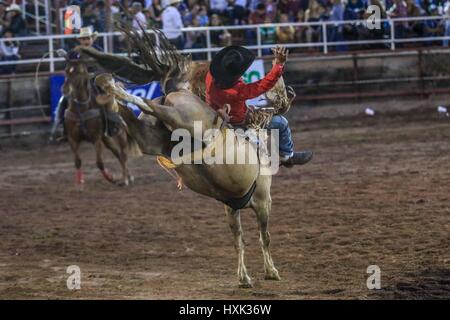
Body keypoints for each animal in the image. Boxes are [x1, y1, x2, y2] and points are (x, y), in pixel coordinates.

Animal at [62, 52, 141, 188]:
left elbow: (99, 163)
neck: (80, 110)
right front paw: (79, 182)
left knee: (123, 154)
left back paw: (125, 179)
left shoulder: (96, 139)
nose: (65, 90)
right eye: (66, 70)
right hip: (106, 138)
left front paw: (111, 178)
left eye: (79, 72)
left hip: (120, 135)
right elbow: (77, 161)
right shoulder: (73, 139)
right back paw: (127, 176)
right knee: (117, 153)